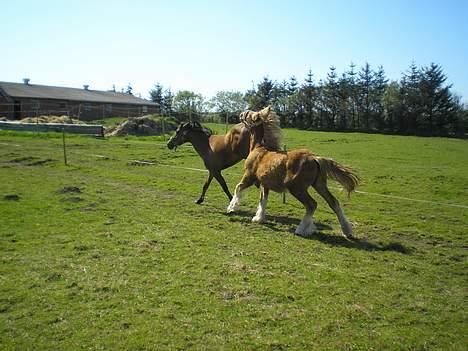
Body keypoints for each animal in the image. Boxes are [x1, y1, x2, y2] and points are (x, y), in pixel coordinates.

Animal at [229, 106, 360, 239]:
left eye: (249, 114)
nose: (241, 114)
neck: (258, 148)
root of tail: (315, 158)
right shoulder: (265, 184)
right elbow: (263, 200)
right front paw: (258, 218)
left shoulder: (249, 176)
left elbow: (238, 188)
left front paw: (232, 208)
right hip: (319, 185)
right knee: (333, 202)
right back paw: (346, 231)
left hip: (297, 188)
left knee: (312, 205)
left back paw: (301, 230)